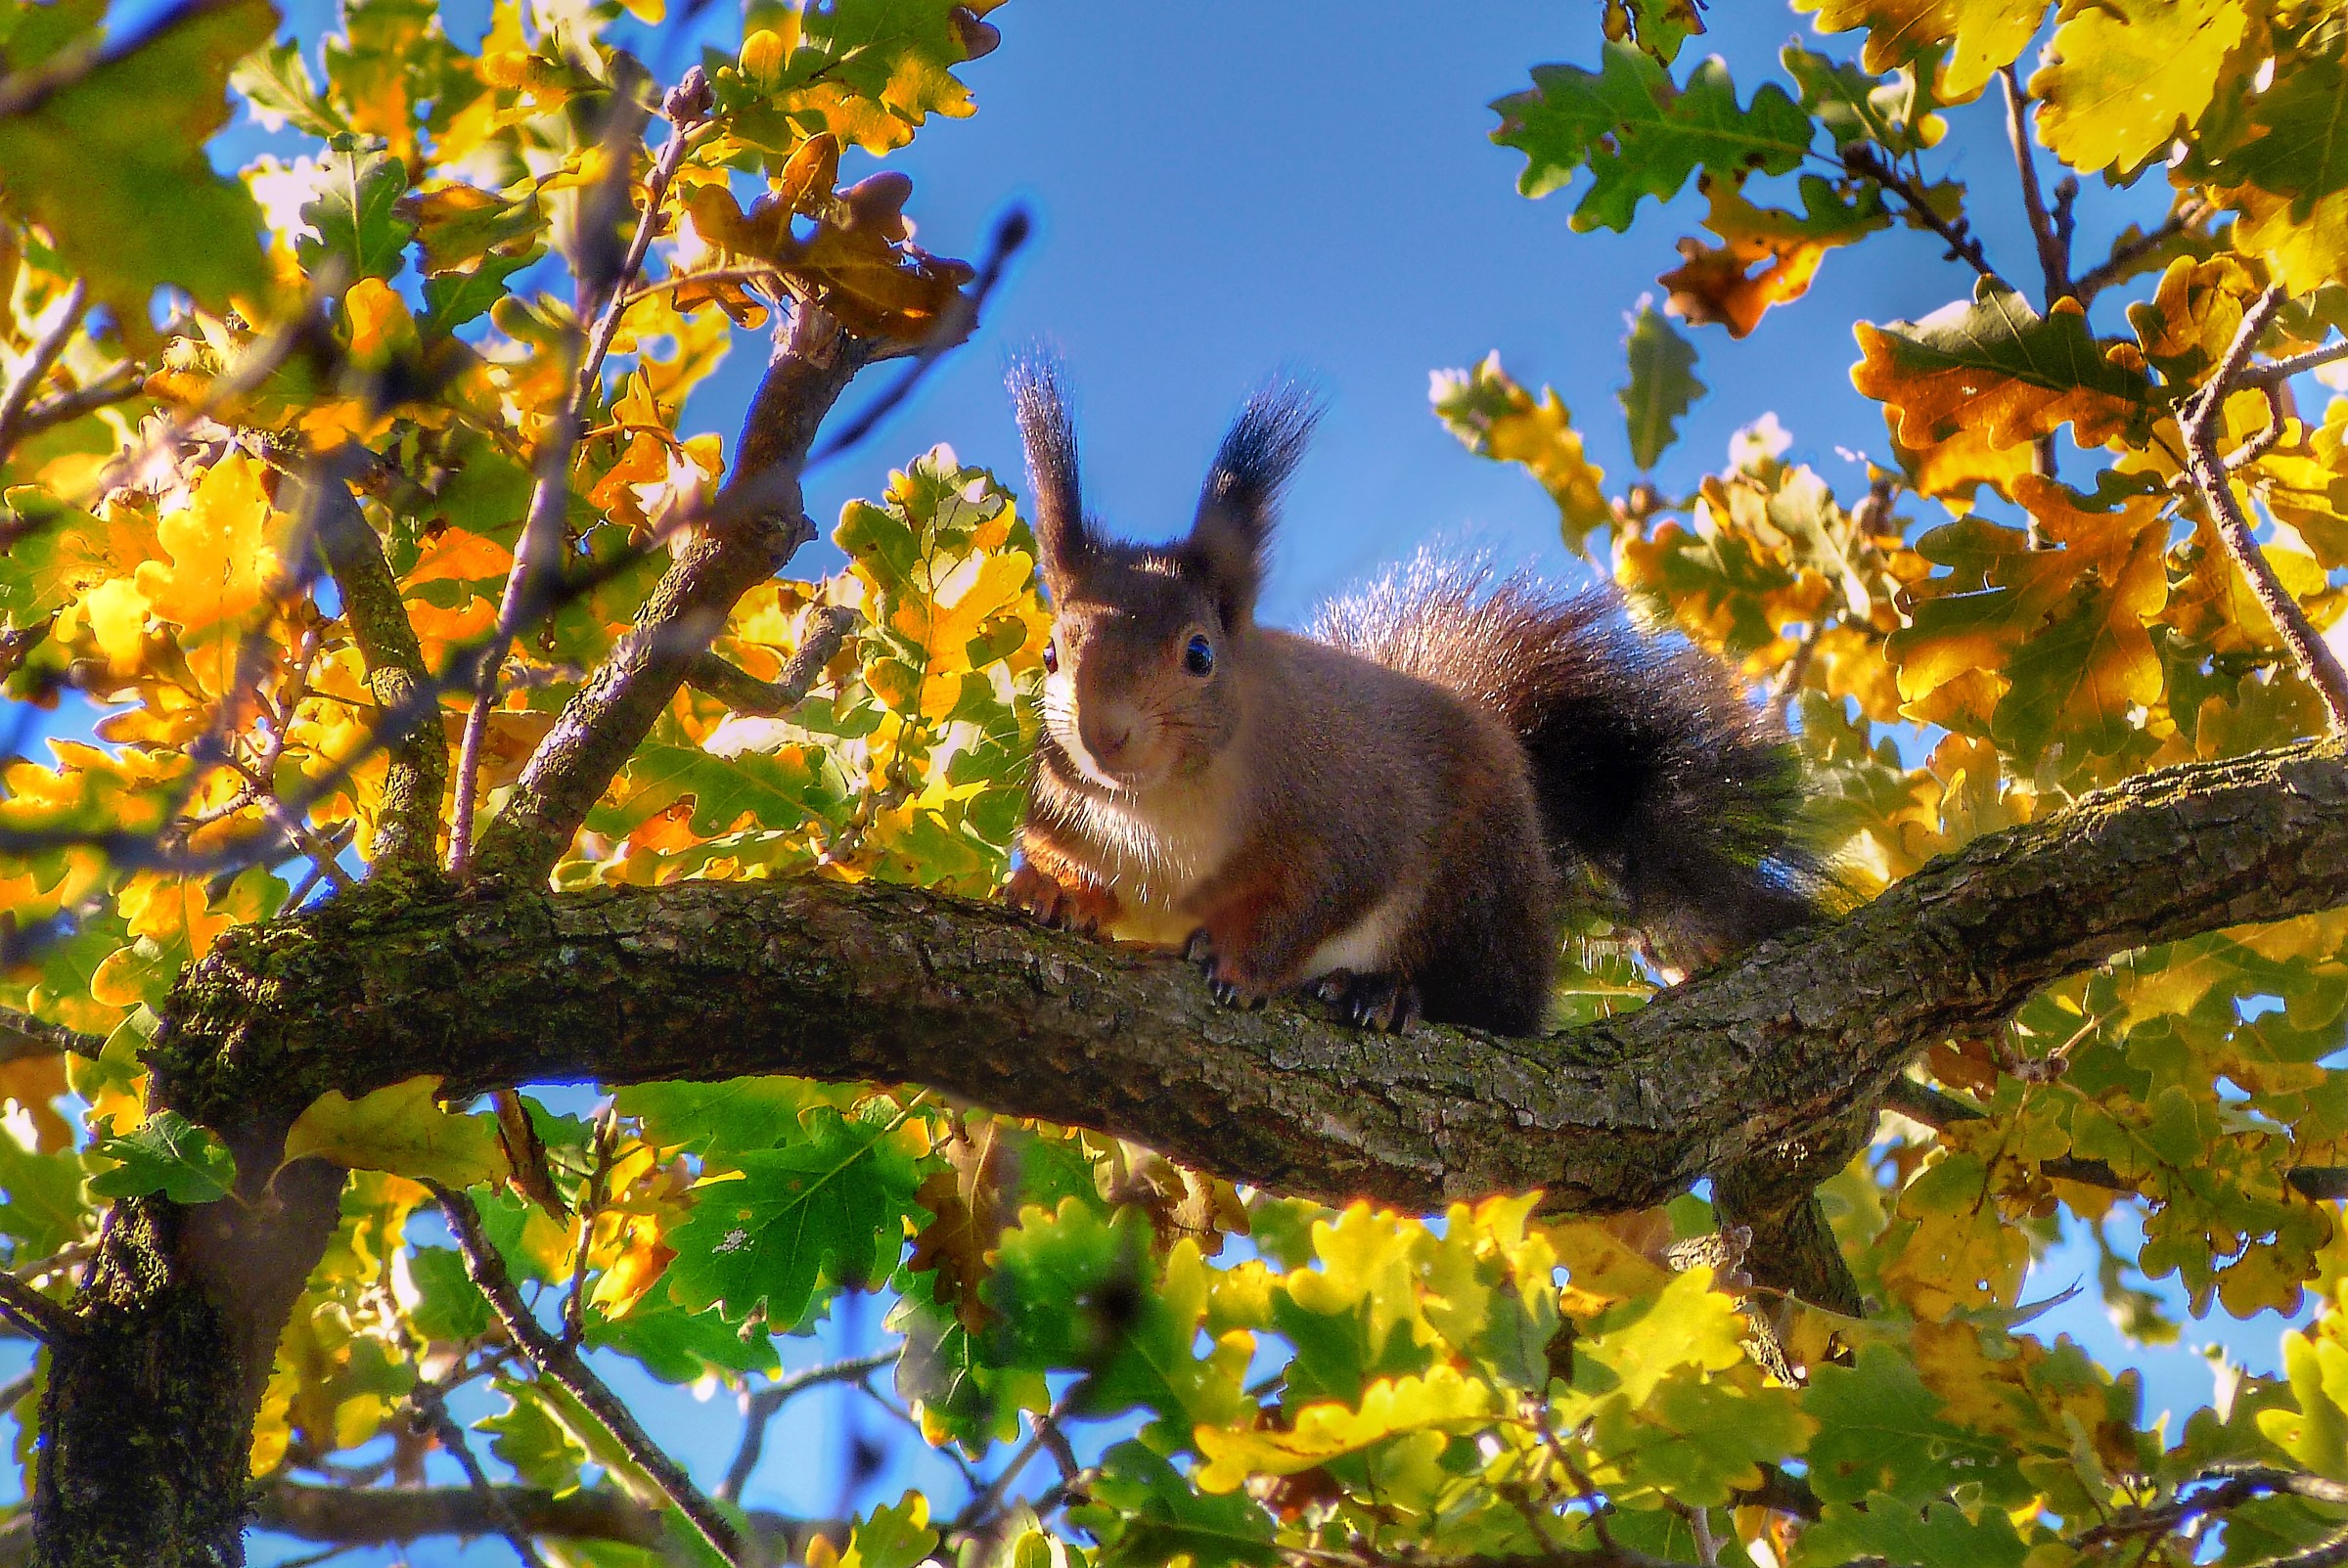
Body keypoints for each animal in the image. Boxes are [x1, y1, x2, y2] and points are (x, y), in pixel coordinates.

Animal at [1001, 359, 1826, 1036]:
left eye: (1199, 654)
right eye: (1049, 652)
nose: (1105, 733)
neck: (1159, 808)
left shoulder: (1352, 817)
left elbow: (1314, 897)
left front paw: (1243, 960)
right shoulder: (1062, 811)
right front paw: (1054, 891)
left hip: (1474, 895)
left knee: (1490, 1008)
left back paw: (1387, 993)